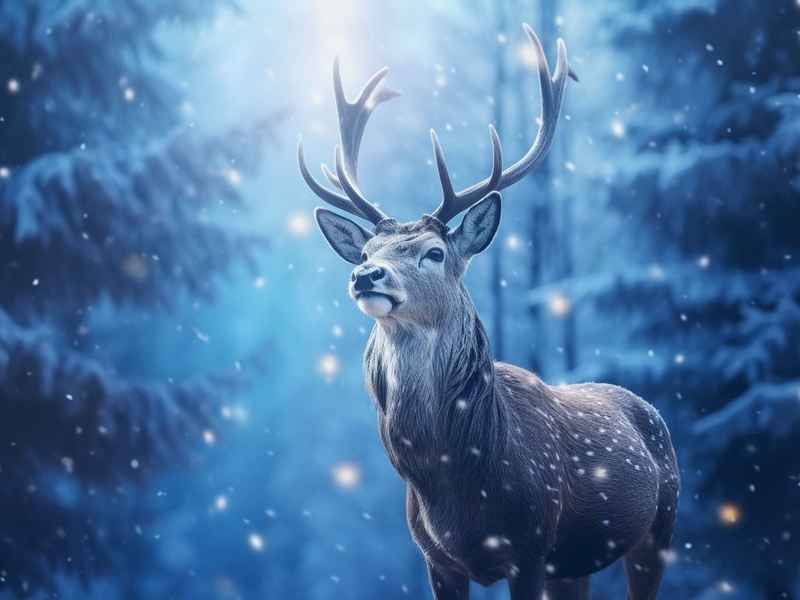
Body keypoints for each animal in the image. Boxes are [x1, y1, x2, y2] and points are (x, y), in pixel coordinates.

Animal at [298, 24, 680, 600]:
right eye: (366, 251)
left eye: (434, 252)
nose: (366, 276)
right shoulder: (436, 559)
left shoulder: (530, 546)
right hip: (576, 564)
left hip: (660, 524)